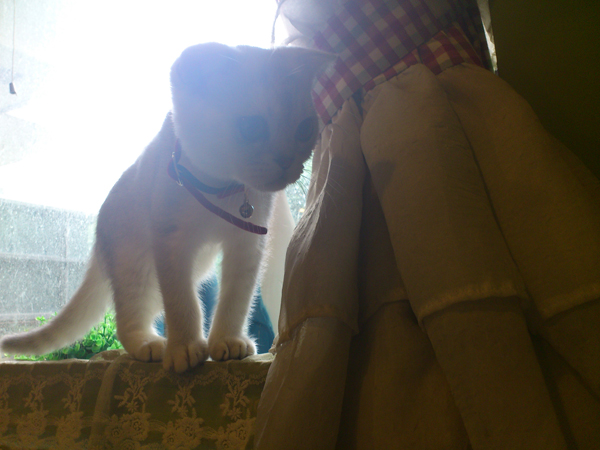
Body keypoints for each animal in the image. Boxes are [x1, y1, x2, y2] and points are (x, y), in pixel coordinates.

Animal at [0, 42, 332, 372]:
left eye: (305, 129)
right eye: (252, 127)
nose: (287, 161)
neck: (218, 188)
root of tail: (100, 235)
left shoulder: (247, 244)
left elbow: (236, 298)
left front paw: (227, 341)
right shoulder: (172, 242)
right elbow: (183, 303)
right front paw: (185, 348)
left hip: (189, 267)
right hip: (136, 263)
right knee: (128, 316)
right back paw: (148, 344)